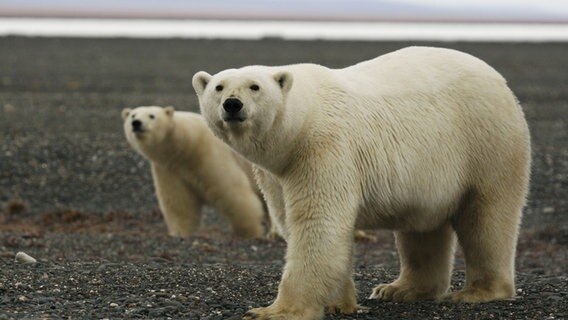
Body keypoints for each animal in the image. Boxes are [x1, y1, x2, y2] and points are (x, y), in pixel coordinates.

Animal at [122, 106, 264, 239]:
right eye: (133, 115)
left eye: (152, 115)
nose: (136, 123)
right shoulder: (169, 169)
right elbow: (179, 204)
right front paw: (179, 233)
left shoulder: (208, 154)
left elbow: (232, 192)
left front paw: (250, 232)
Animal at [193, 47, 532, 320]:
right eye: (218, 87)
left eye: (255, 86)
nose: (232, 104)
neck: (303, 122)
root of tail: (498, 80)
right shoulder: (278, 172)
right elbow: (295, 221)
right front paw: (339, 303)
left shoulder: (324, 148)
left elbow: (318, 224)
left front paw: (274, 311)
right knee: (422, 229)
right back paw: (399, 289)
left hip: (486, 143)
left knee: (487, 218)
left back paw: (478, 291)